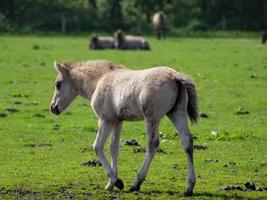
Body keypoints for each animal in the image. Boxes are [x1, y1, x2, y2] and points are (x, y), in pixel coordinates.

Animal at [50, 60, 199, 196]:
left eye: (58, 84)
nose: (53, 108)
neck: (99, 80)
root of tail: (176, 77)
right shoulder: (118, 121)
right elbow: (114, 147)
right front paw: (110, 184)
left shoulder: (106, 119)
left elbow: (97, 146)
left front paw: (117, 181)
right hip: (177, 113)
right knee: (187, 141)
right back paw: (189, 187)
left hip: (152, 117)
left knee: (152, 144)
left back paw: (136, 183)